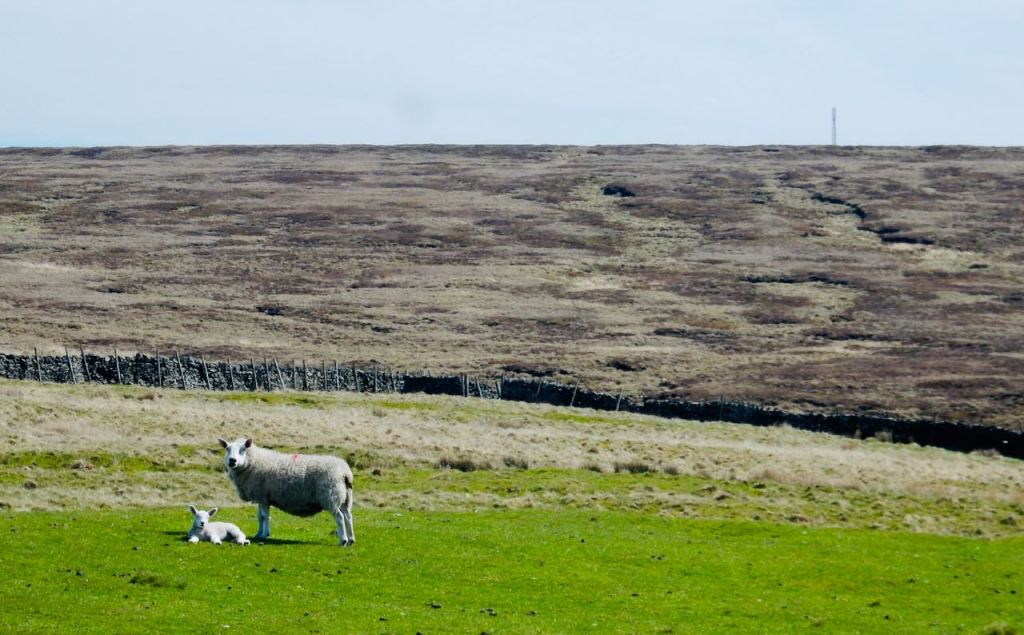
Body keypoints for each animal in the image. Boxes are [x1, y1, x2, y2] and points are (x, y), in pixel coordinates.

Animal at [218, 437, 355, 546]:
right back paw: (351, 539)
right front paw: (258, 534)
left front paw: (264, 534)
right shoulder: (261, 497)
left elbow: (264, 516)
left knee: (339, 517)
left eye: (243, 449)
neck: (253, 461)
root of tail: (345, 472)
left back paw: (343, 540)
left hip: (331, 496)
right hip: (344, 497)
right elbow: (260, 517)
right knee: (348, 516)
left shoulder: (263, 496)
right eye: (227, 449)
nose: (232, 461)